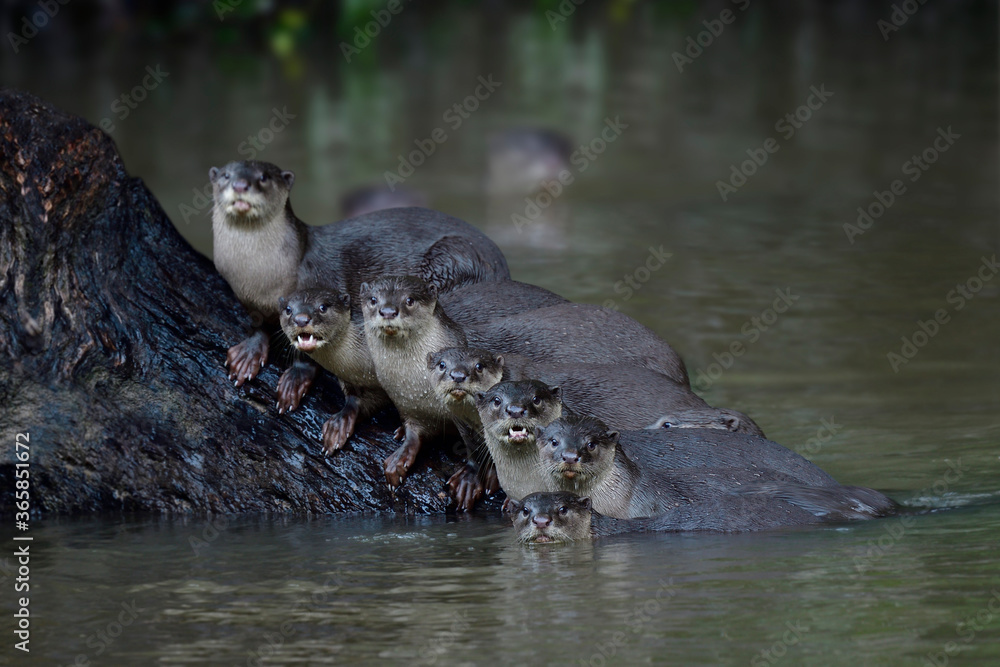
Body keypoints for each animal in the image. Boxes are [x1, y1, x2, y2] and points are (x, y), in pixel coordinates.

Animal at [209, 162, 508, 408]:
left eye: (263, 177)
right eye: (226, 175)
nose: (240, 185)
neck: (261, 278)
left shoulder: (320, 285)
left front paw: (295, 377)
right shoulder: (246, 297)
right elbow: (257, 323)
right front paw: (249, 352)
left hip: (454, 258)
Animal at [360, 276, 468, 490]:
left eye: (409, 300)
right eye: (373, 299)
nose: (388, 311)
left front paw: (470, 479)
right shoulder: (409, 406)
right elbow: (414, 435)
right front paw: (398, 460)